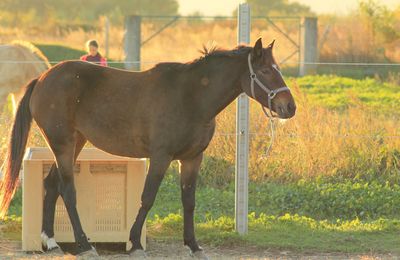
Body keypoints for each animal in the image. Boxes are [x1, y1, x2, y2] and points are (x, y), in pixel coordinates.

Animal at [0, 39, 294, 258]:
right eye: (265, 71)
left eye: (278, 68)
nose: (289, 107)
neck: (192, 97)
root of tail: (42, 78)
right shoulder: (161, 157)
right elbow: (147, 198)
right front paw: (135, 244)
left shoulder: (192, 159)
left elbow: (189, 201)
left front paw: (193, 245)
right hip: (63, 144)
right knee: (67, 191)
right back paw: (84, 245)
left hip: (75, 144)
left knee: (51, 185)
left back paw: (51, 241)